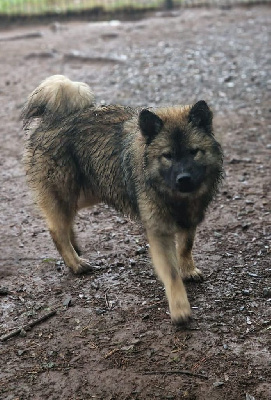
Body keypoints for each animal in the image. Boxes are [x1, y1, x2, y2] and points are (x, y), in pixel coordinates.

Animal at [22, 76, 223, 324]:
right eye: (167, 155)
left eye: (194, 152)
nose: (184, 179)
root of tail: (52, 119)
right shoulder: (159, 230)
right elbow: (171, 272)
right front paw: (180, 309)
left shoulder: (190, 217)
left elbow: (186, 246)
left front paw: (188, 269)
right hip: (65, 194)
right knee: (55, 229)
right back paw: (75, 263)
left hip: (92, 191)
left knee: (64, 221)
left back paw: (75, 246)